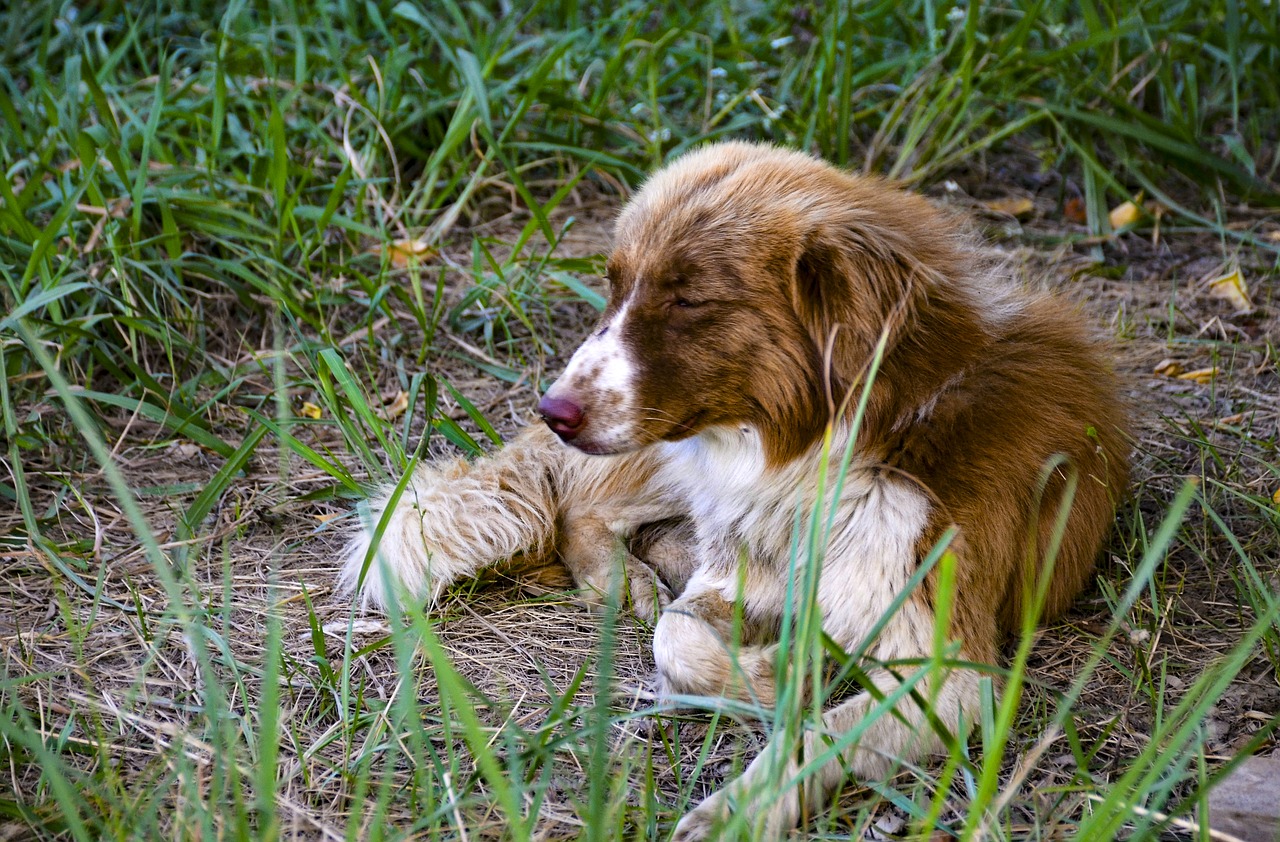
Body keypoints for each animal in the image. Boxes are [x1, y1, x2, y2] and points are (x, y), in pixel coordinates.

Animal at [343, 140, 1131, 834]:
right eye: (614, 284)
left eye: (689, 300)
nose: (553, 410)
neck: (826, 457)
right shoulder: (738, 571)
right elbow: (677, 634)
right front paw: (782, 669)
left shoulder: (945, 671)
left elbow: (815, 737)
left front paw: (737, 810)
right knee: (583, 508)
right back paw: (625, 580)